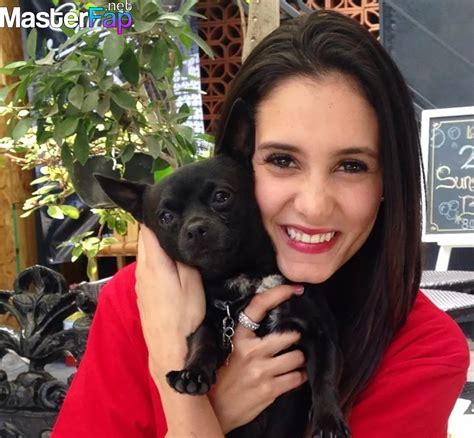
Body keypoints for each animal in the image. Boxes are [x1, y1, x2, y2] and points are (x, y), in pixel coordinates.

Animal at [95, 100, 350, 438]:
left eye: (222, 197)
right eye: (165, 217)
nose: (195, 228)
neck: (243, 277)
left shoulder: (321, 333)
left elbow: (324, 376)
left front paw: (328, 421)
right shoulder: (211, 319)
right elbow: (202, 339)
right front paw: (191, 373)